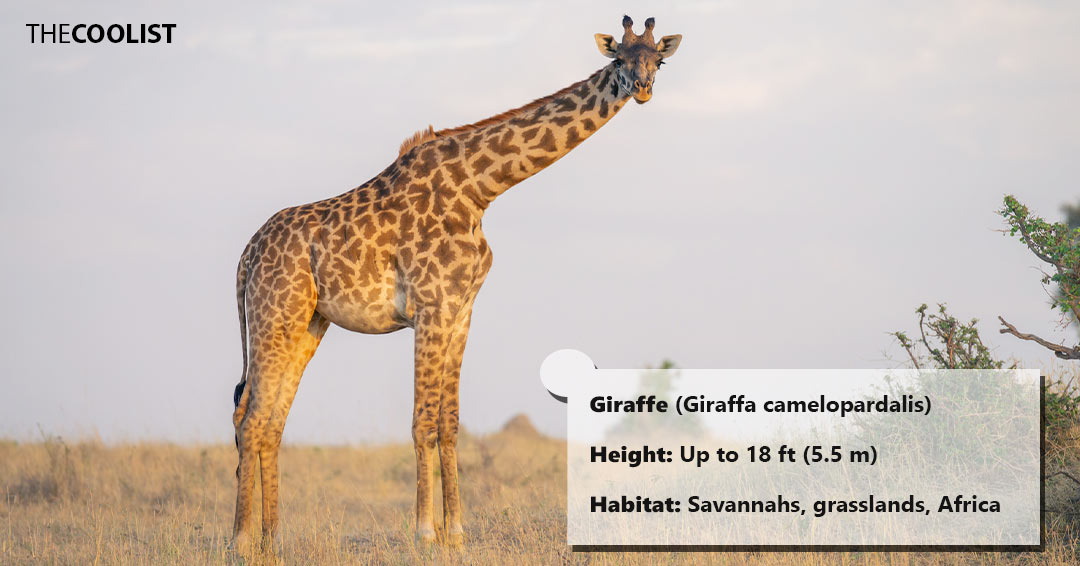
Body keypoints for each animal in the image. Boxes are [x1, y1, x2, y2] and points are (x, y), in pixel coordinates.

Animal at [229, 15, 681, 552]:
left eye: (658, 61)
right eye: (619, 59)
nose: (642, 88)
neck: (480, 189)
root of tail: (245, 258)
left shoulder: (462, 310)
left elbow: (449, 422)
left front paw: (457, 531)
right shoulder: (430, 306)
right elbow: (423, 420)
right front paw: (425, 532)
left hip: (307, 322)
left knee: (270, 420)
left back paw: (272, 540)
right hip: (274, 314)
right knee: (252, 419)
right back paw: (239, 540)